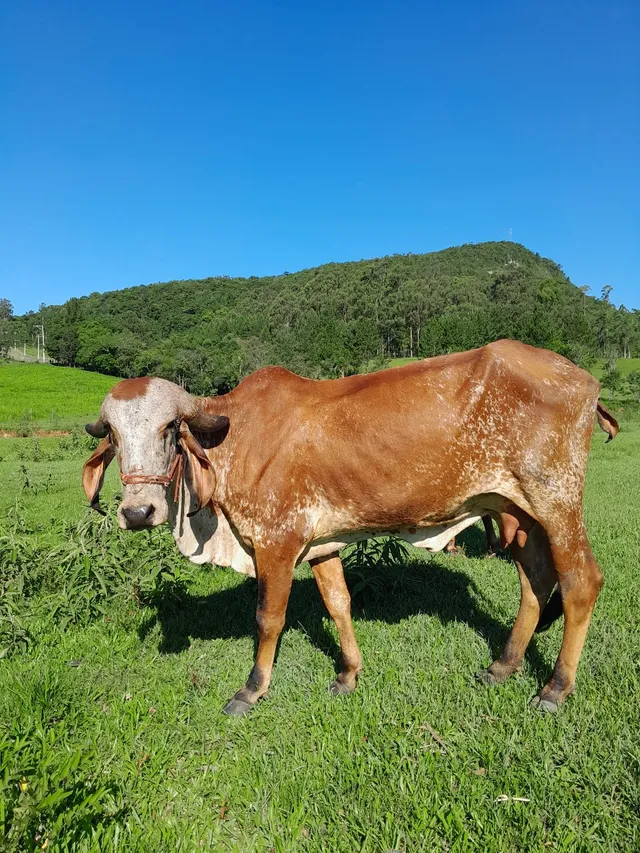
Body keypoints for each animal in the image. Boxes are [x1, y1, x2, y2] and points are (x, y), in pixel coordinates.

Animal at [82, 340, 618, 716]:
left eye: (169, 429)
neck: (233, 437)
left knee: (580, 583)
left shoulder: (276, 542)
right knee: (536, 582)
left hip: (557, 502)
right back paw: (502, 666)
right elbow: (339, 604)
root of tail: (583, 378)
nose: (137, 512)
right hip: (517, 510)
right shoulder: (321, 544)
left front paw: (252, 690)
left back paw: (555, 688)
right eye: (114, 436)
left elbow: (268, 618)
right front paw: (349, 674)